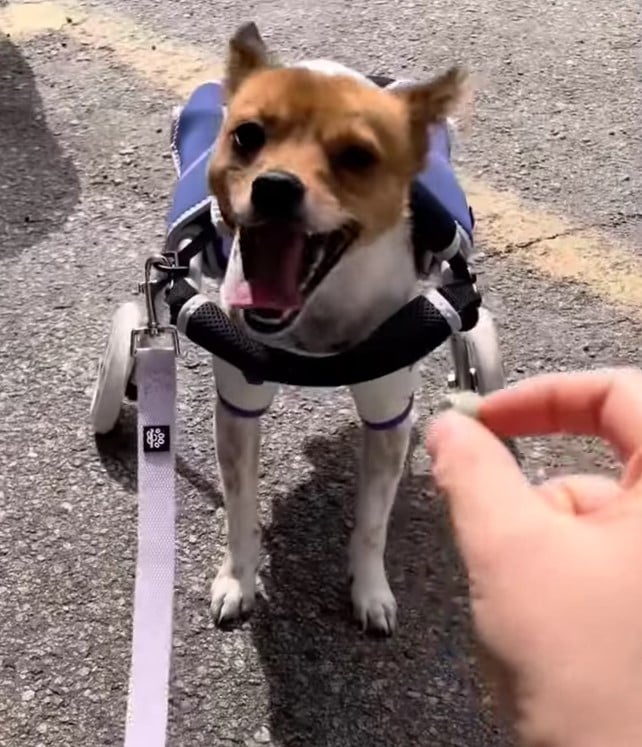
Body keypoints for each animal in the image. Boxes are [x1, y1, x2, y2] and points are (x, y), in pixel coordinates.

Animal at [205, 20, 464, 636]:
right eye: (247, 135)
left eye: (357, 156)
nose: (276, 186)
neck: (316, 310)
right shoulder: (238, 405)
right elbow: (240, 507)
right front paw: (238, 578)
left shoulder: (388, 409)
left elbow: (372, 522)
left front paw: (370, 590)